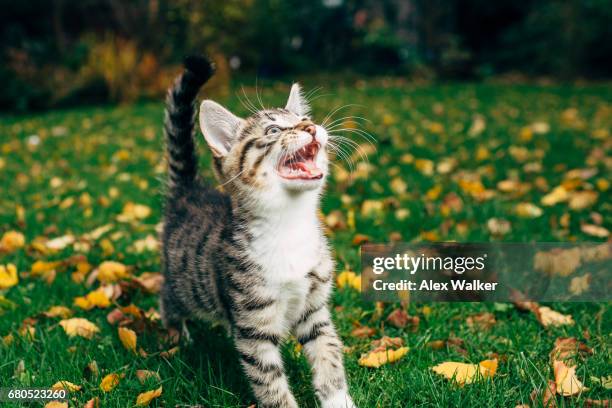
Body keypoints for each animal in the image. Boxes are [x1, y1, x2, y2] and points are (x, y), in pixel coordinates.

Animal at [160, 56, 356, 408]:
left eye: (305, 119)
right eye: (274, 130)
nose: (310, 128)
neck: (290, 225)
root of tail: (190, 191)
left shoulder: (315, 309)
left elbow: (328, 353)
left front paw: (338, 399)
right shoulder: (254, 327)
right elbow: (269, 381)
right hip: (183, 284)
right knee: (168, 300)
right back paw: (177, 335)